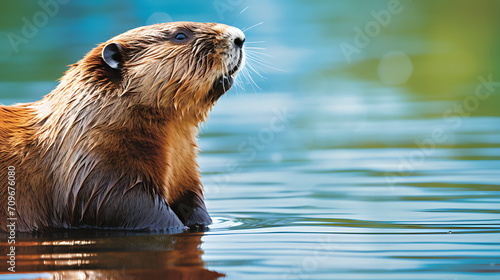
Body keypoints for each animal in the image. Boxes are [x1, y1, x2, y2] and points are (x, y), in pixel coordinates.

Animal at [0, 21, 246, 232]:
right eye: (180, 35)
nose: (239, 37)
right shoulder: (94, 165)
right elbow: (128, 205)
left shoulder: (184, 162)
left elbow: (192, 200)